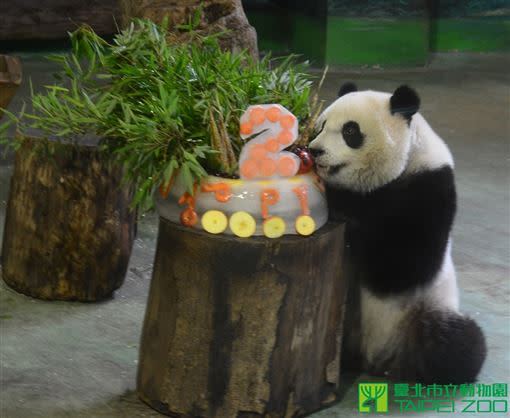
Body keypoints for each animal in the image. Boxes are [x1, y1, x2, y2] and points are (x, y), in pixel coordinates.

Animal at [308, 82, 488, 386]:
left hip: (424, 311)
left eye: (350, 131)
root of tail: (374, 359)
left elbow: (402, 267)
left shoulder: (431, 188)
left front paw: (341, 199)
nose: (315, 151)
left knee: (456, 344)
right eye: (319, 127)